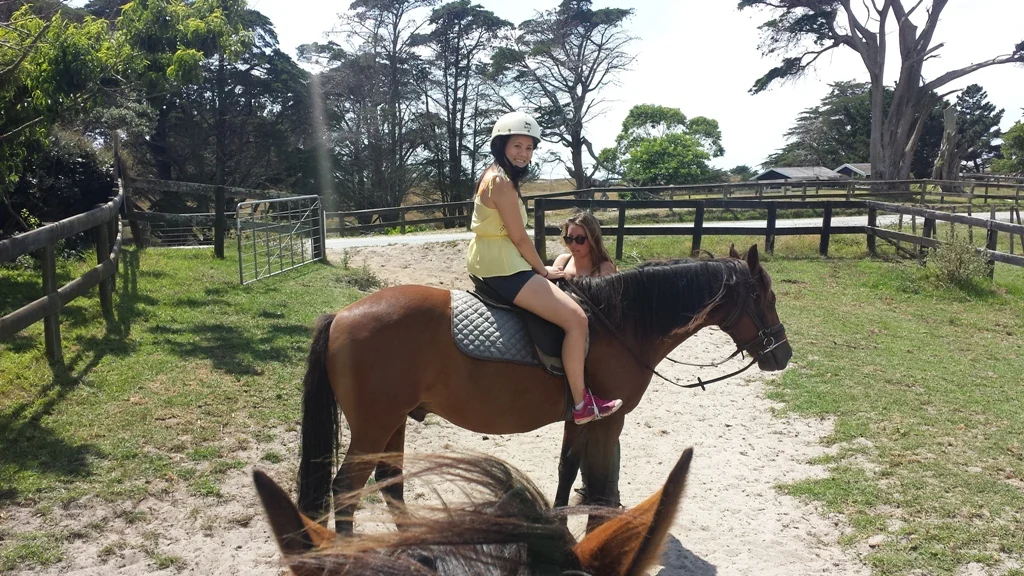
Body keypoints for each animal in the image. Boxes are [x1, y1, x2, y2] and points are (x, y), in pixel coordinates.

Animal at [297, 244, 791, 533]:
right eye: (764, 298)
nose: (782, 354)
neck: (618, 324)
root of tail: (341, 316)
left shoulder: (581, 416)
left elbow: (568, 468)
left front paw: (557, 526)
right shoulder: (610, 422)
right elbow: (602, 483)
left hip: (394, 422)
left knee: (389, 483)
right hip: (373, 426)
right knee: (346, 489)